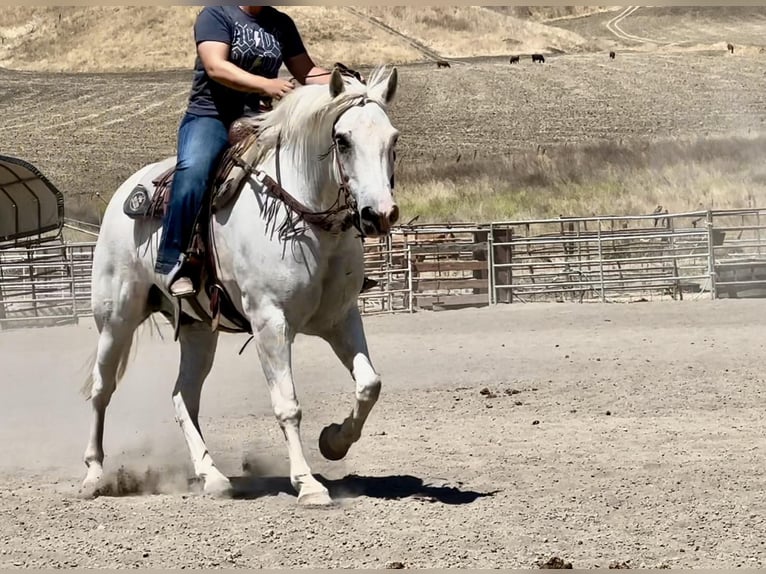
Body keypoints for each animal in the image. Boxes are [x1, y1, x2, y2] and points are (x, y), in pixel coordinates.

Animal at [79, 66, 401, 507]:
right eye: (343, 140)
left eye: (393, 139)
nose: (379, 214)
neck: (305, 217)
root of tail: (123, 194)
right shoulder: (270, 323)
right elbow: (287, 404)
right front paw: (308, 484)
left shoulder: (340, 318)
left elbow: (370, 384)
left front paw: (333, 441)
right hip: (115, 319)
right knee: (101, 388)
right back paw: (94, 475)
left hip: (197, 330)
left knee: (182, 396)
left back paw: (212, 477)